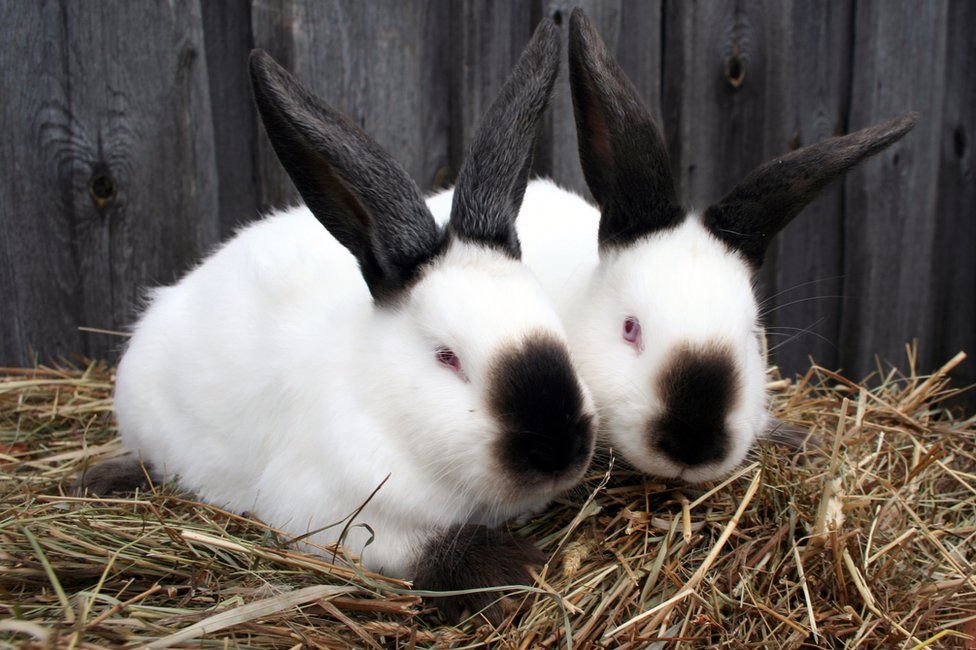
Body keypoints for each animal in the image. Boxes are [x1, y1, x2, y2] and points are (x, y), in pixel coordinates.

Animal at [78, 19, 596, 624]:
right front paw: (512, 569)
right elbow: (419, 546)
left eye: (556, 326)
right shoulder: (336, 513)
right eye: (447, 358)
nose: (559, 448)